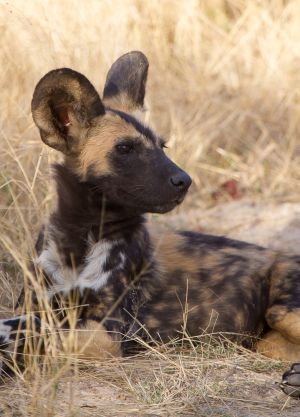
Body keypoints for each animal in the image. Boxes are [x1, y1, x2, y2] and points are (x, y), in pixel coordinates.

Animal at [1, 51, 300, 394]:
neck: (78, 241)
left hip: (282, 311)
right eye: (125, 148)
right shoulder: (36, 305)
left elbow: (34, 332)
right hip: (267, 341)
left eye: (162, 146)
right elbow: (26, 326)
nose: (185, 180)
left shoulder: (107, 333)